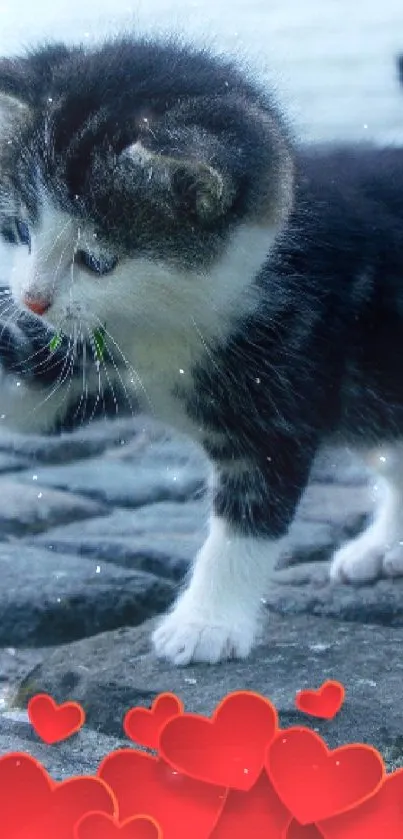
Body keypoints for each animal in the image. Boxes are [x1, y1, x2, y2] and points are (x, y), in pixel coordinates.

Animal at [0, 39, 403, 668]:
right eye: (20, 229)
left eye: (97, 261)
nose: (31, 300)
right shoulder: (98, 360)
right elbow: (32, 406)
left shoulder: (284, 385)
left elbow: (248, 520)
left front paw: (206, 624)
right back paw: (383, 546)